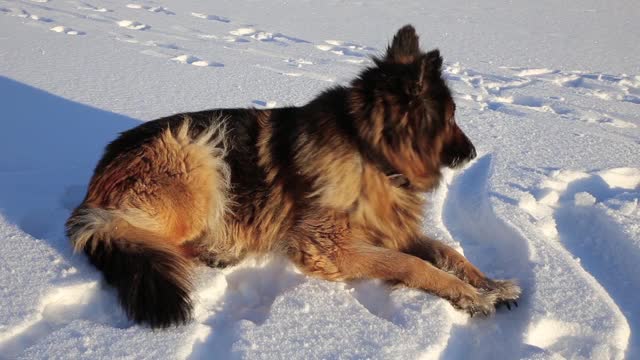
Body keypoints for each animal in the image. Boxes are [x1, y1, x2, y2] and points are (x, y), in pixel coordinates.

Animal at [67, 25, 524, 328]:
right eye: (450, 117)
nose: (473, 153)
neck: (367, 151)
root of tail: (96, 181)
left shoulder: (390, 228)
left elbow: (448, 252)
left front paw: (492, 284)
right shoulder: (330, 247)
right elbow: (412, 265)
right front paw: (469, 297)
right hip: (196, 154)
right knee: (153, 240)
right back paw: (217, 251)